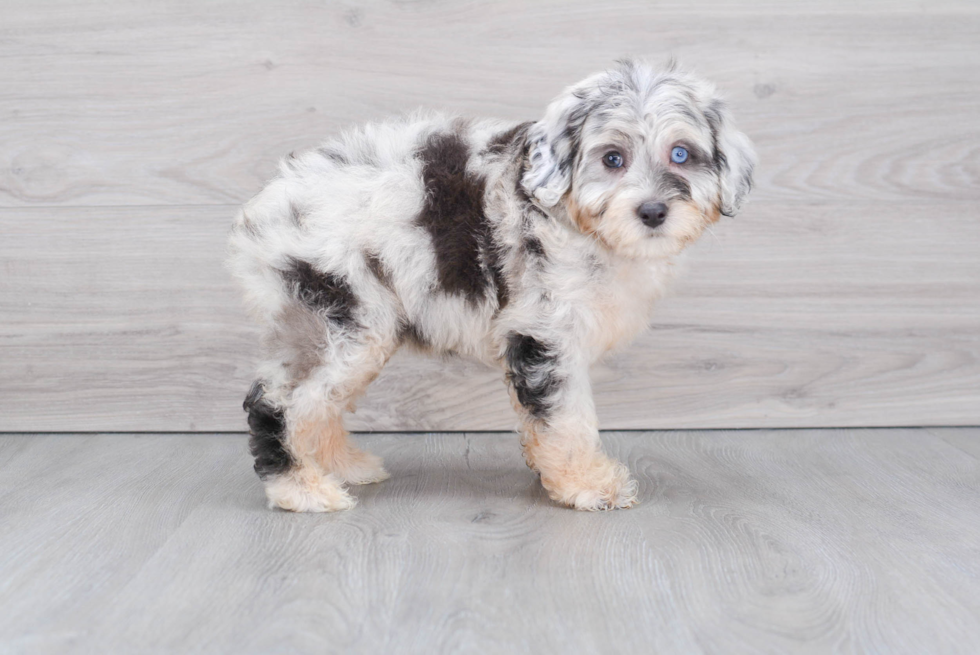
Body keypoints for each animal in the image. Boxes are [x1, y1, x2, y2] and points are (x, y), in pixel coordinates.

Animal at [228, 59, 756, 512]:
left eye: (681, 154)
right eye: (613, 158)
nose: (652, 212)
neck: (582, 227)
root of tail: (263, 210)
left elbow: (541, 419)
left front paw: (550, 471)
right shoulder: (546, 332)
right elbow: (568, 416)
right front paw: (588, 485)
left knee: (316, 401)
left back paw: (343, 466)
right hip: (343, 314)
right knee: (278, 402)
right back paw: (302, 490)